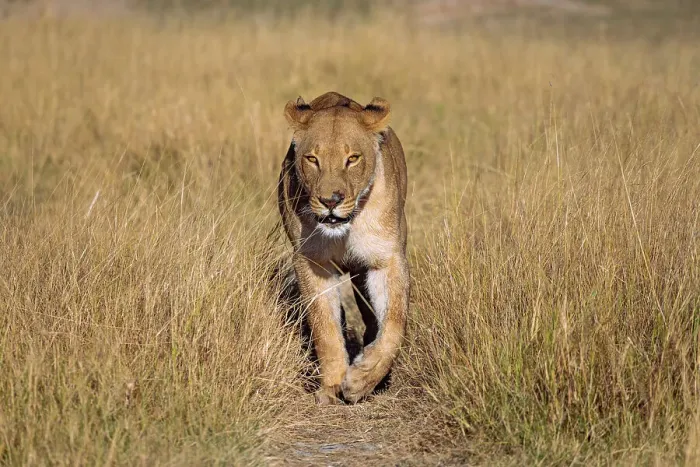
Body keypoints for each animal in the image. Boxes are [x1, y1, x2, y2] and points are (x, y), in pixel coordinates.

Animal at [278, 91, 409, 405]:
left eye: (352, 159)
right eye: (312, 159)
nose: (330, 201)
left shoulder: (386, 258)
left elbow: (394, 323)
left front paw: (363, 379)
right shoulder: (311, 260)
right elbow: (325, 327)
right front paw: (332, 387)